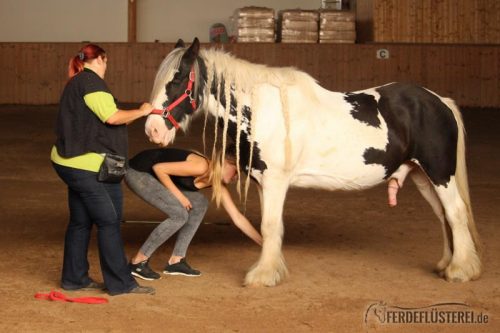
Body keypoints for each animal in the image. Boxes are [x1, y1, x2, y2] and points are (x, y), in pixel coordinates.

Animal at [145, 37, 480, 286]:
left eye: (177, 80)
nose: (153, 130)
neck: (263, 110)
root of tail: (439, 101)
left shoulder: (276, 181)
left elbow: (269, 226)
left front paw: (263, 276)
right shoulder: (264, 183)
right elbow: (269, 227)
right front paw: (273, 268)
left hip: (440, 174)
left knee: (455, 213)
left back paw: (460, 271)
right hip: (423, 176)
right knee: (443, 216)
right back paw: (447, 263)